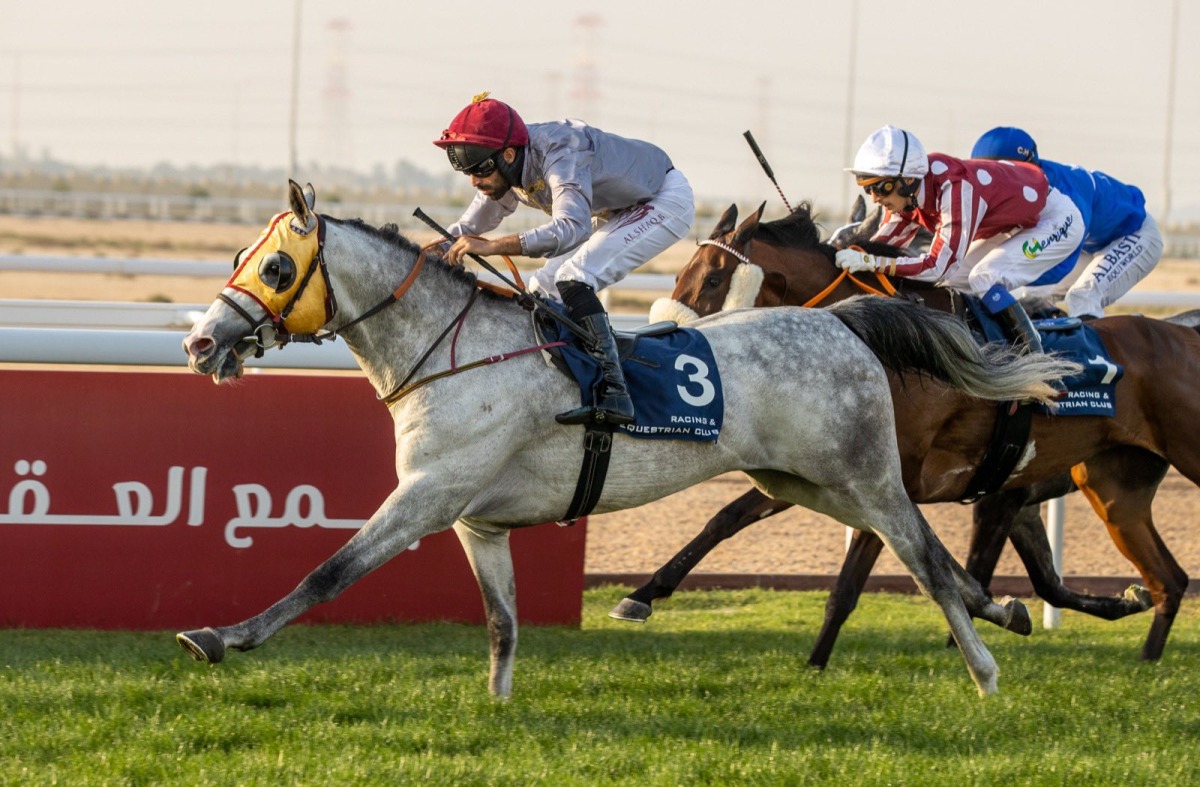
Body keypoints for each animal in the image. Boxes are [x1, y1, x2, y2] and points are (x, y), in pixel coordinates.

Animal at [174, 179, 1075, 695]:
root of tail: (844, 317)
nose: (200, 343)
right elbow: (502, 622)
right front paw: (499, 707)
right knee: (928, 548)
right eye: (240, 253)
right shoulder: (477, 519)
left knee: (918, 551)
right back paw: (1002, 609)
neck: (454, 350)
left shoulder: (429, 494)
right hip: (801, 480)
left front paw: (219, 636)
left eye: (277, 269)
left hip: (864, 472)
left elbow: (328, 572)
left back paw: (985, 667)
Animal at [624, 201, 1195, 662]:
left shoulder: (886, 483)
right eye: (681, 273)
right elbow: (724, 519)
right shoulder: (825, 467)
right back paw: (1144, 652)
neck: (896, 349)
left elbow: (849, 587)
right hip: (1114, 488)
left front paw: (816, 666)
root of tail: (1182, 333)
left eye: (713, 279)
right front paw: (643, 594)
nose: (670, 343)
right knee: (1168, 579)